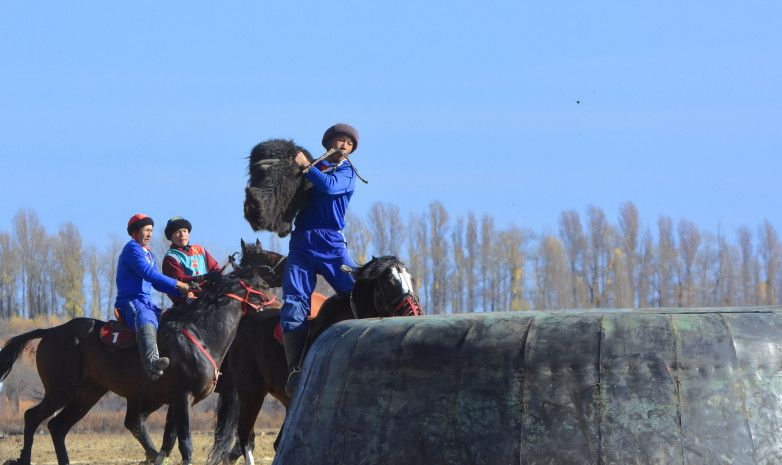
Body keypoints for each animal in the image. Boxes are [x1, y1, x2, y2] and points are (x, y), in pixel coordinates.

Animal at [0, 245, 280, 462]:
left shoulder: (178, 400)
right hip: (62, 389)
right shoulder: (184, 397)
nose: (278, 304)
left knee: (58, 427)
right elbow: (186, 444)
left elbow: (170, 441)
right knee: (32, 417)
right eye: (262, 283)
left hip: (88, 393)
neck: (200, 334)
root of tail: (51, 331)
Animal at [208, 254, 422, 464]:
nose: (414, 312)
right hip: (251, 393)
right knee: (246, 438)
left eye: (411, 279)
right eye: (389, 281)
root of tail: (246, 323)